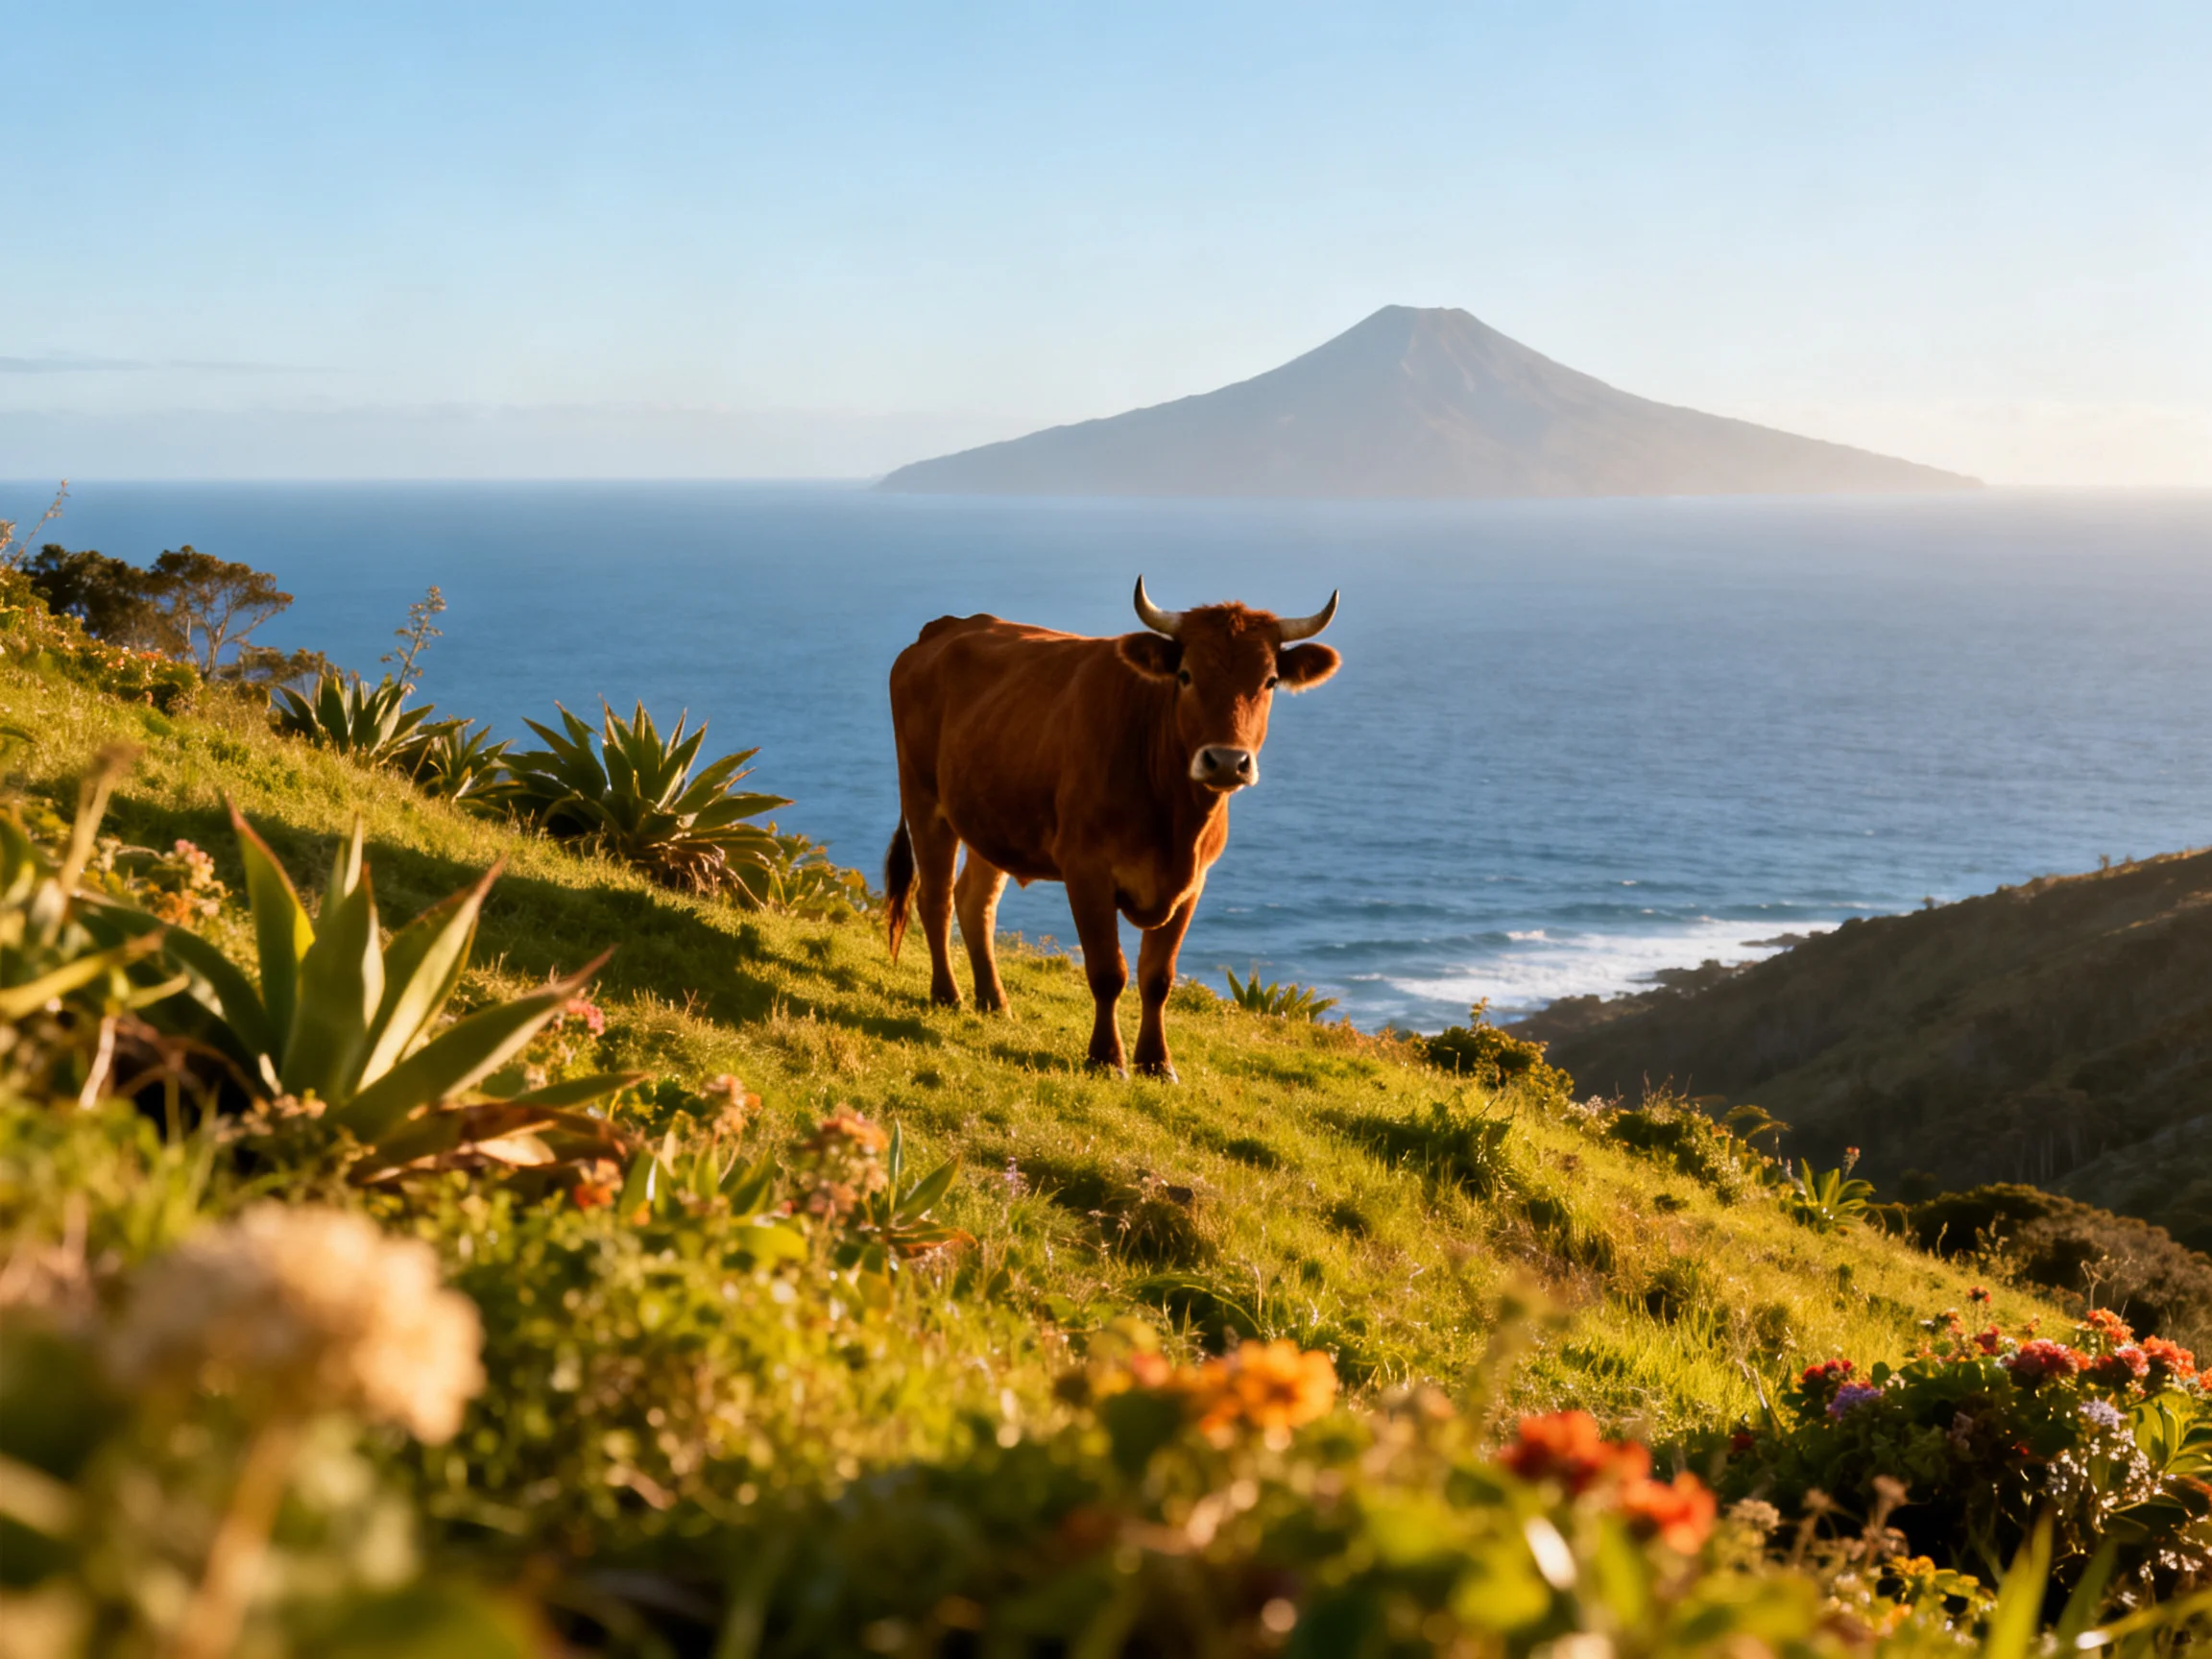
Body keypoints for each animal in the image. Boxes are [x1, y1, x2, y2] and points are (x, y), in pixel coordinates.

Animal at [883, 577, 1341, 1079]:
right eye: (1186, 675)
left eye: (1270, 681)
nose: (1225, 761)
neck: (1175, 822)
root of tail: (944, 628)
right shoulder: (1086, 869)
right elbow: (1108, 972)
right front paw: (1106, 1058)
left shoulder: (1194, 882)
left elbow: (1158, 977)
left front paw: (1157, 1063)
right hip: (923, 798)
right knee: (936, 898)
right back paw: (948, 995)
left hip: (990, 815)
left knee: (974, 902)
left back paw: (995, 1002)